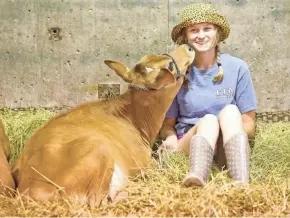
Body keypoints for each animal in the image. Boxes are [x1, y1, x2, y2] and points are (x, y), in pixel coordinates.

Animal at [11, 44, 195, 206]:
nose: (188, 46)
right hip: (99, 148)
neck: (134, 120)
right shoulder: (145, 163)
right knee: (98, 201)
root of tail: (28, 189)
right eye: (170, 65)